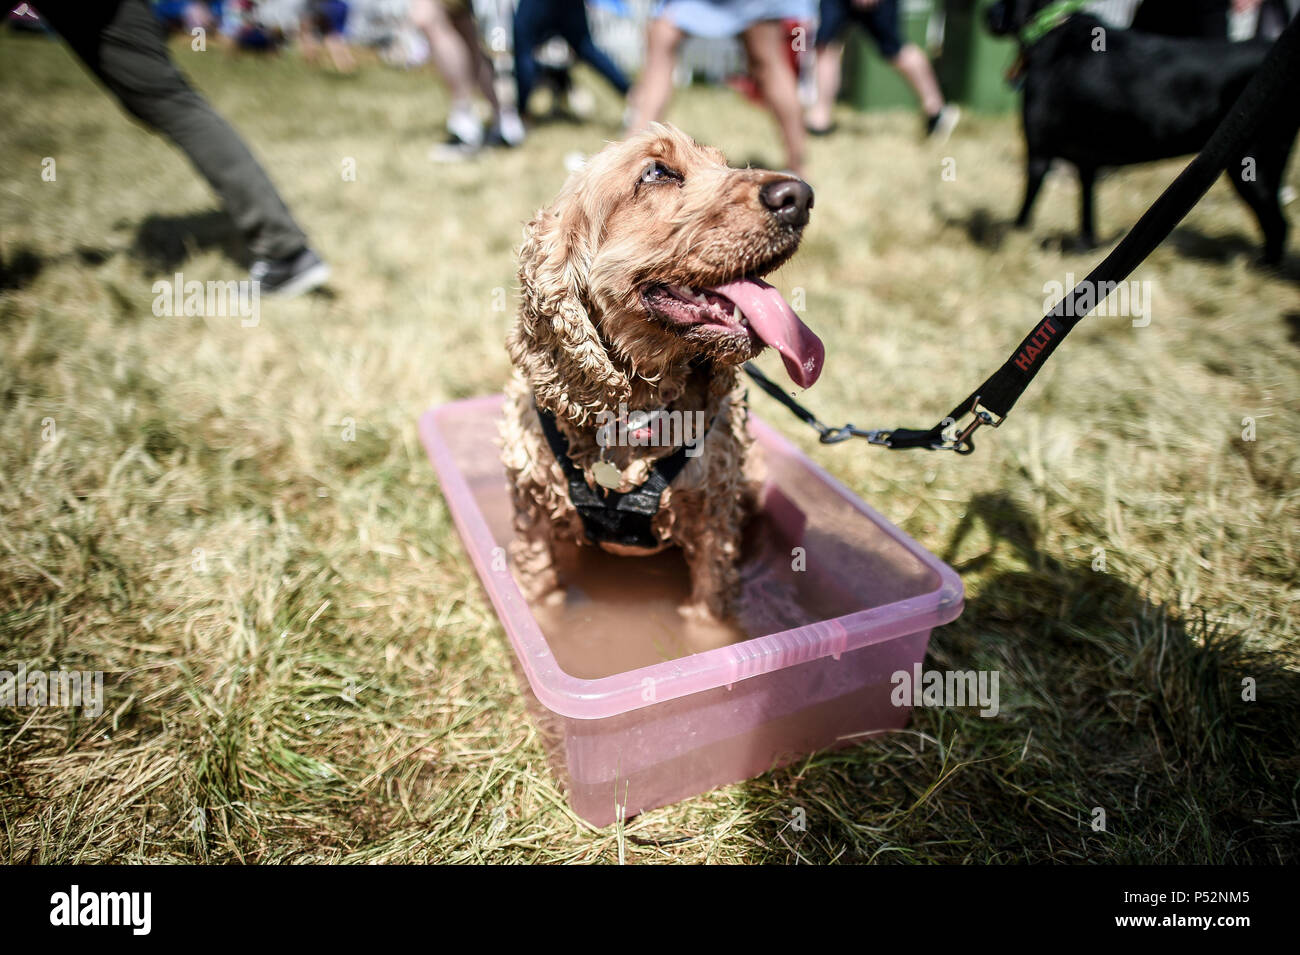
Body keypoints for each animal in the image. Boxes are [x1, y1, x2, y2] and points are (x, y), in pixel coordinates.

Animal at [987, 0, 1294, 263]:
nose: (987, 14)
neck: (1053, 23)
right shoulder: (1087, 162)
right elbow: (1087, 210)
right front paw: (1086, 246)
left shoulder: (1038, 153)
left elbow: (1023, 214)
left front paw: (1013, 241)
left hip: (1250, 164)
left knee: (1278, 223)